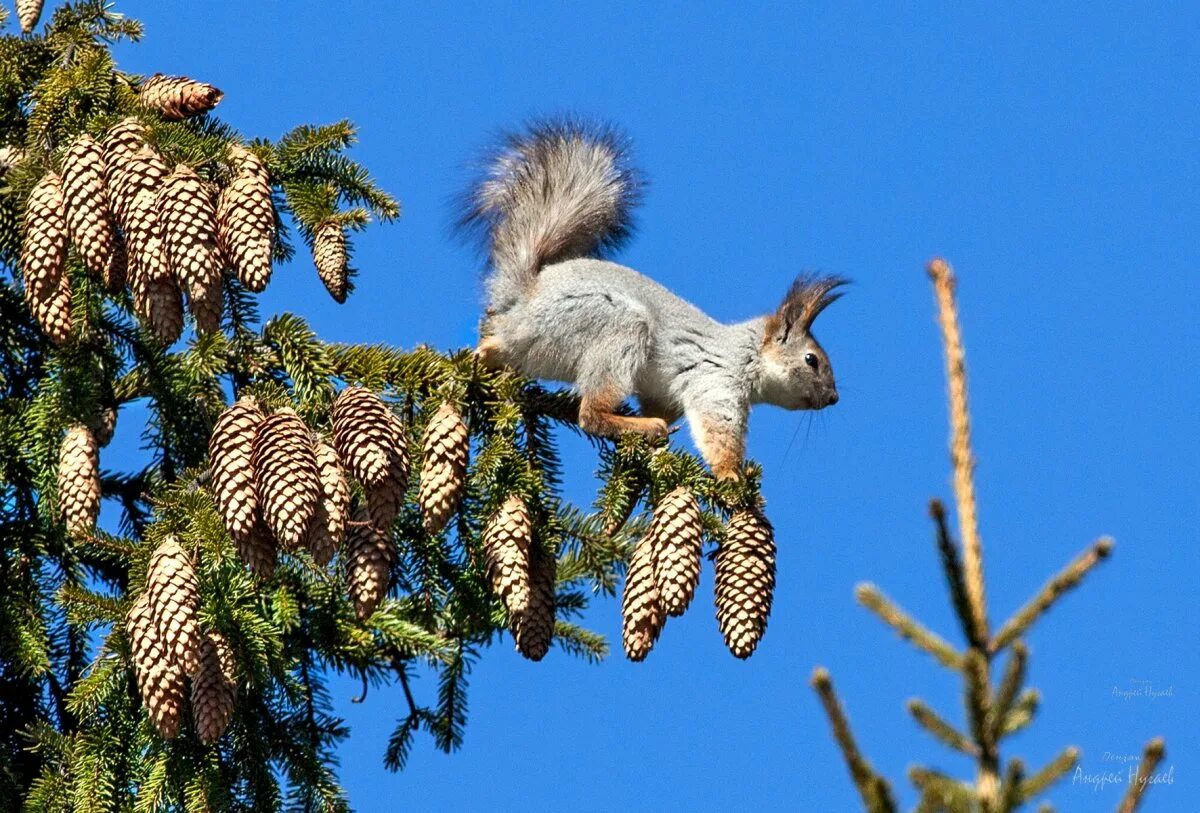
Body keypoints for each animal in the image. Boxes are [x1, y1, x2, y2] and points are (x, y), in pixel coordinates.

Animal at [458, 118, 844, 482]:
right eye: (812, 360)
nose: (834, 398)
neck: (745, 354)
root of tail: (521, 302)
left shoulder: (663, 396)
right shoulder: (715, 383)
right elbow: (718, 435)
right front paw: (732, 477)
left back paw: (482, 357)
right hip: (613, 326)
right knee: (591, 415)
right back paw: (641, 427)